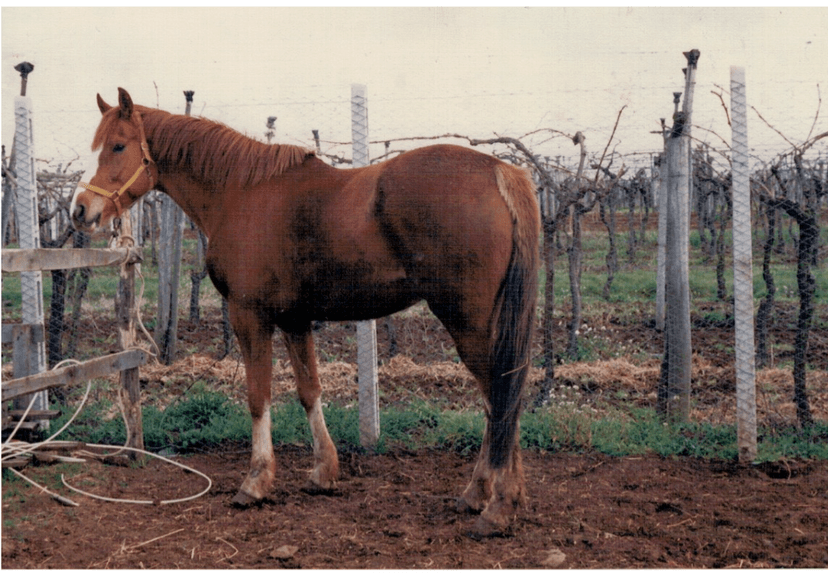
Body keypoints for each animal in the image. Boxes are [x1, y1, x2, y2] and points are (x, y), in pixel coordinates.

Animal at [73, 88, 544, 536]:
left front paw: (256, 481)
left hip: (468, 322)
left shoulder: (250, 316)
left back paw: (497, 505)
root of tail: (499, 171)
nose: (80, 210)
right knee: (501, 399)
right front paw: (324, 471)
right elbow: (309, 390)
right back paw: (485, 496)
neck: (239, 192)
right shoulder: (294, 320)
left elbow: (258, 395)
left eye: (117, 145)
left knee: (500, 397)